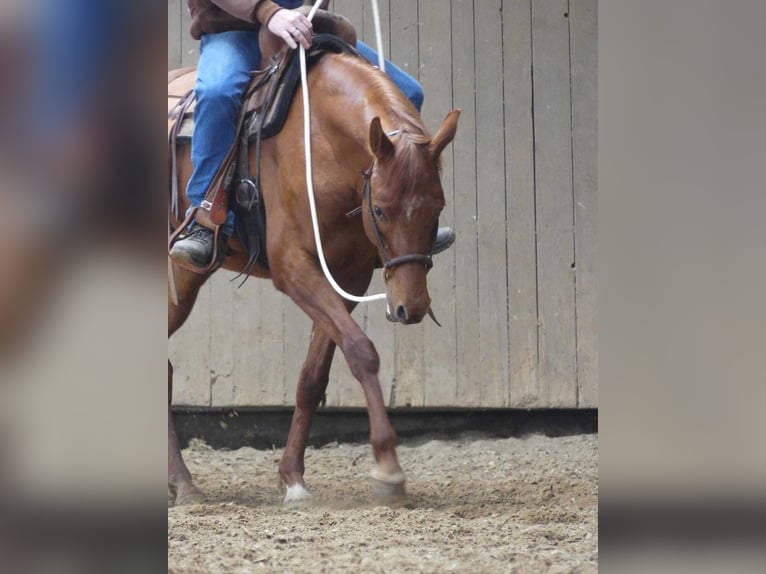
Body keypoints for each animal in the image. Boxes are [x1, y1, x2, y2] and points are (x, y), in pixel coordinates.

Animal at [168, 47, 460, 506]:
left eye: (438, 207)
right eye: (380, 210)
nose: (410, 307)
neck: (321, 140)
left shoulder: (348, 277)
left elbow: (313, 376)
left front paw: (292, 477)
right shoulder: (294, 268)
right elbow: (361, 351)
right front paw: (388, 468)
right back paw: (183, 483)